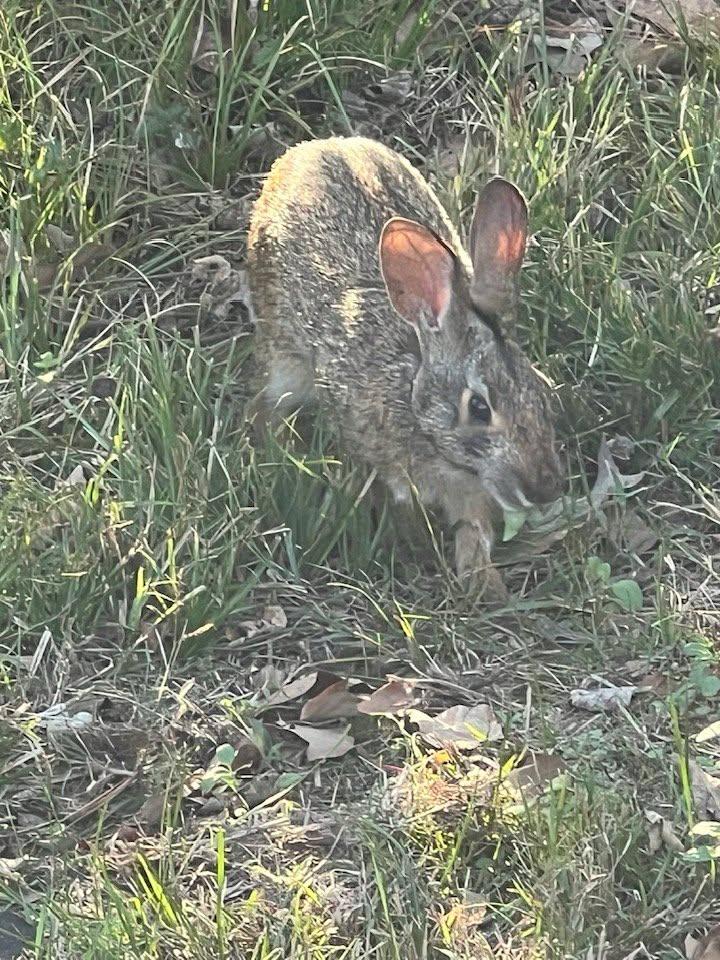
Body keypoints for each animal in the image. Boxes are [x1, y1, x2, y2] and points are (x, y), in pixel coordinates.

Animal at [246, 136, 564, 599]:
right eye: (479, 408)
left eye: (544, 393)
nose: (545, 490)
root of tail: (312, 148)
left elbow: (473, 530)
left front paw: (482, 583)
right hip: (283, 352)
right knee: (267, 403)